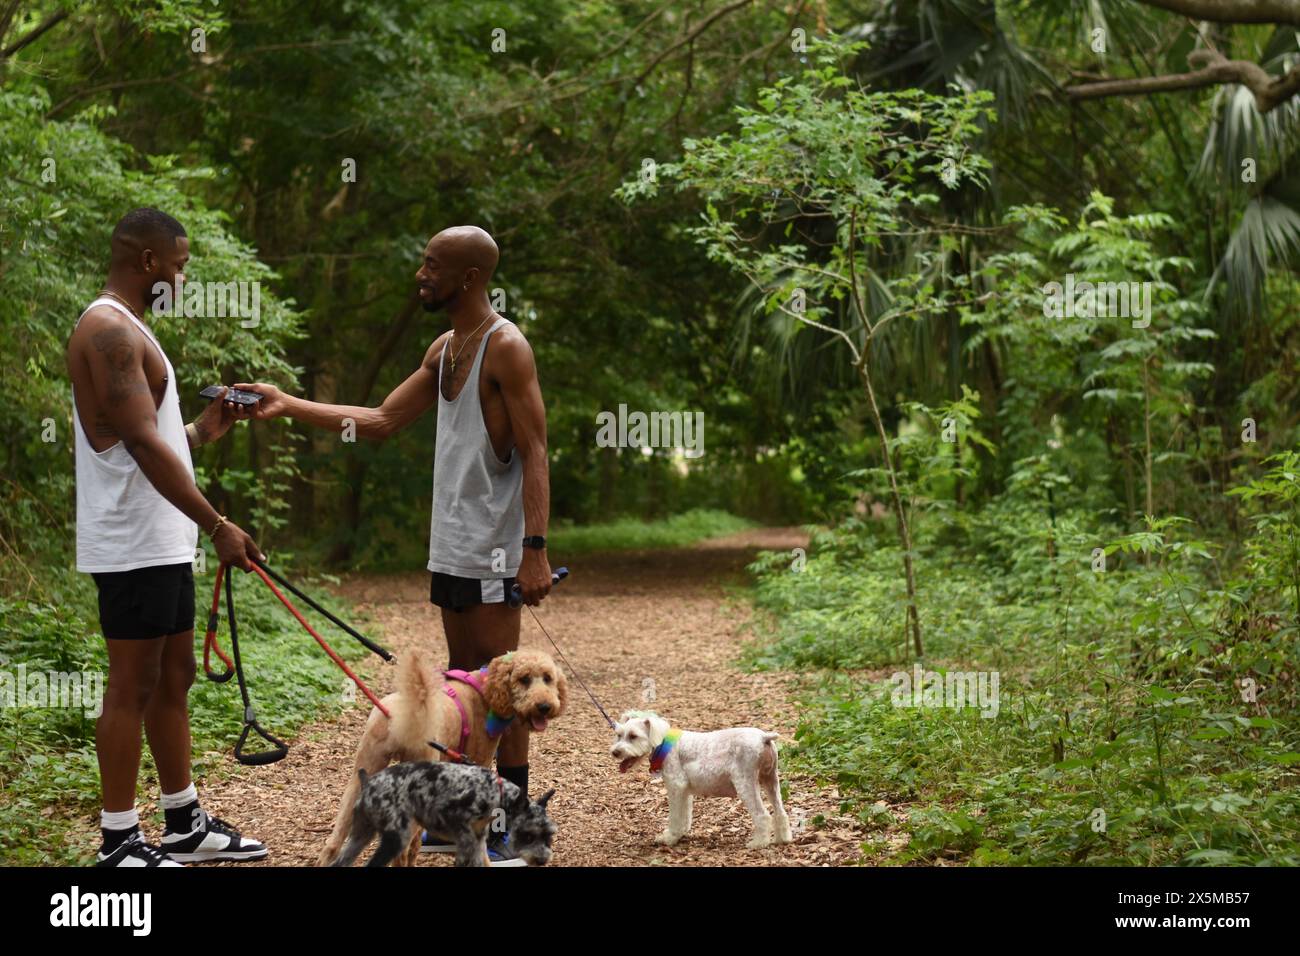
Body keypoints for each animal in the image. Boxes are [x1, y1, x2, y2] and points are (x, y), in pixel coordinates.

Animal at [330, 759, 553, 868]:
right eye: (528, 835)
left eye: (549, 836)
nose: (542, 860)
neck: (496, 792)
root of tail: (368, 783)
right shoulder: (465, 839)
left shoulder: (478, 843)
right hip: (396, 840)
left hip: (361, 835)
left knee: (340, 863)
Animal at [608, 707, 790, 848]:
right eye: (619, 735)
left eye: (633, 736)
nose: (615, 752)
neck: (663, 743)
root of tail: (764, 737)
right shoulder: (684, 792)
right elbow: (684, 815)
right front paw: (679, 834)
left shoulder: (675, 787)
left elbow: (675, 816)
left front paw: (668, 838)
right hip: (771, 781)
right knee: (780, 812)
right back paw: (783, 839)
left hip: (746, 784)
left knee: (762, 815)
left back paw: (758, 843)